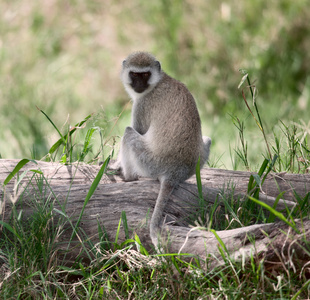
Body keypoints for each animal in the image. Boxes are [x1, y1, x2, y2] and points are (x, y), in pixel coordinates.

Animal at [115, 51, 212, 247]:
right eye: (134, 74)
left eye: (145, 74)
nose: (139, 85)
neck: (158, 81)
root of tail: (174, 173)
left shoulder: (142, 104)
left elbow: (137, 129)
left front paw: (114, 165)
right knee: (207, 140)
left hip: (150, 162)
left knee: (128, 133)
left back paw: (128, 177)